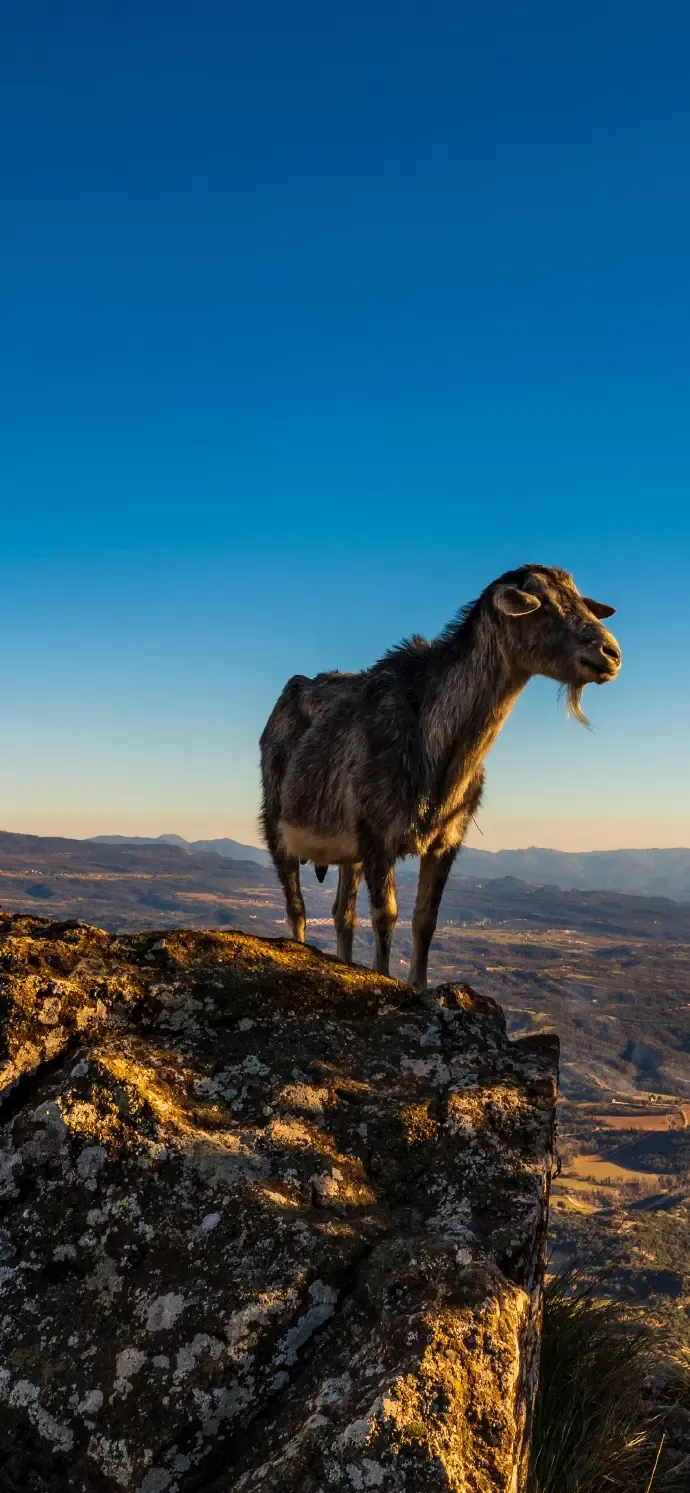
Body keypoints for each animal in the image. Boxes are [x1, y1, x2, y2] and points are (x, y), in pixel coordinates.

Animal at [258, 564, 621, 985]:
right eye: (541, 603)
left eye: (580, 599)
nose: (611, 653)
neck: (436, 746)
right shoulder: (378, 833)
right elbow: (386, 915)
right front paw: (384, 976)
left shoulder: (447, 840)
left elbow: (425, 920)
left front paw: (419, 983)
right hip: (277, 822)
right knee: (296, 906)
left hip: (349, 850)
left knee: (341, 915)